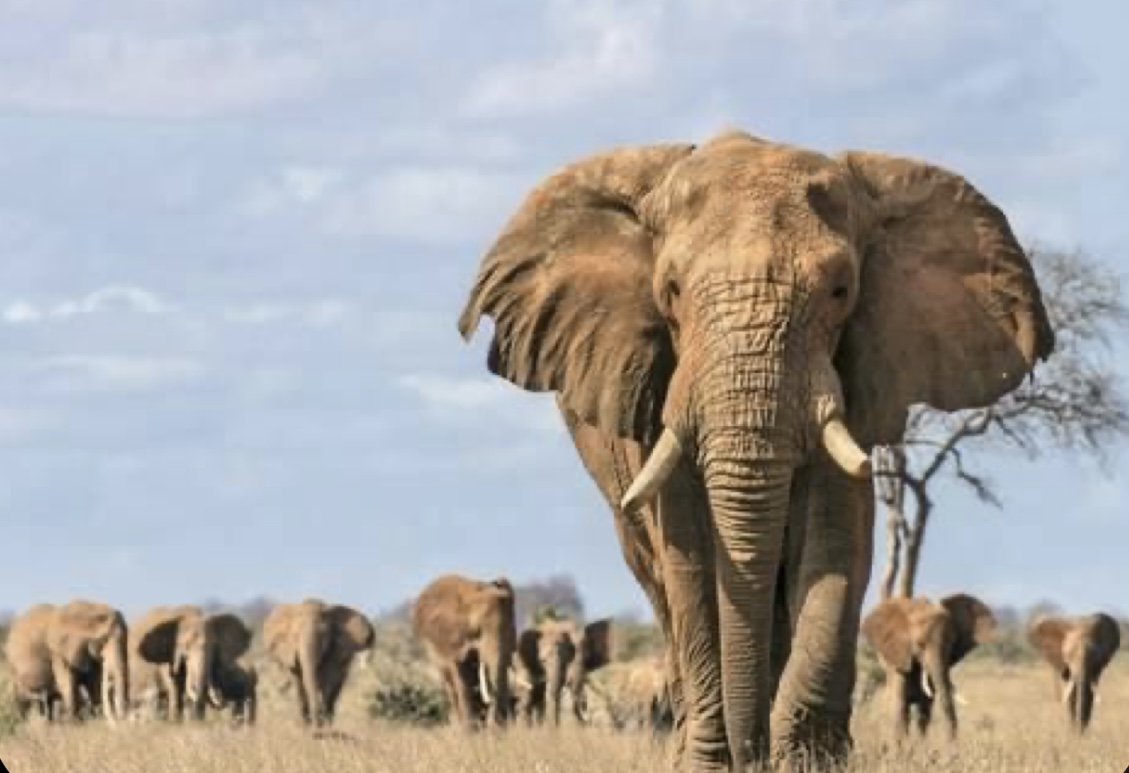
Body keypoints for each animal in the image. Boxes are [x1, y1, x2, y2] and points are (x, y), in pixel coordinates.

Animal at [410, 573, 517, 731]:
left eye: (513, 630)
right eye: (477, 631)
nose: (496, 726)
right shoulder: (451, 641)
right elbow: (460, 676)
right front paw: (469, 730)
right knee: (449, 682)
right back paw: (457, 725)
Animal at [858, 595, 993, 740]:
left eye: (951, 643)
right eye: (919, 644)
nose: (952, 743)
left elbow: (925, 711)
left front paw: (920, 744)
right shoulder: (899, 662)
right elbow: (900, 707)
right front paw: (903, 745)